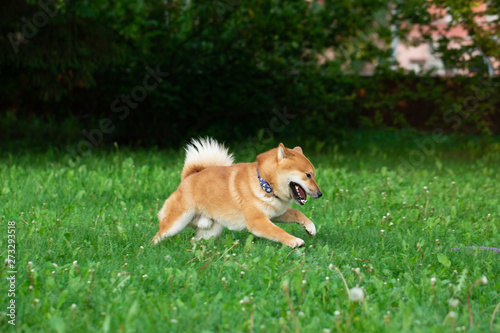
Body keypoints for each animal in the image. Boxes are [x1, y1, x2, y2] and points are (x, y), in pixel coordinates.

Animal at [152, 137, 322, 246]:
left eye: (313, 175)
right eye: (308, 175)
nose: (320, 194)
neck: (264, 184)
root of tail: (188, 177)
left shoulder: (274, 214)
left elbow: (297, 213)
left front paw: (310, 227)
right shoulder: (257, 221)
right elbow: (278, 231)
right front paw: (294, 241)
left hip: (211, 231)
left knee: (195, 241)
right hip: (176, 223)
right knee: (158, 236)